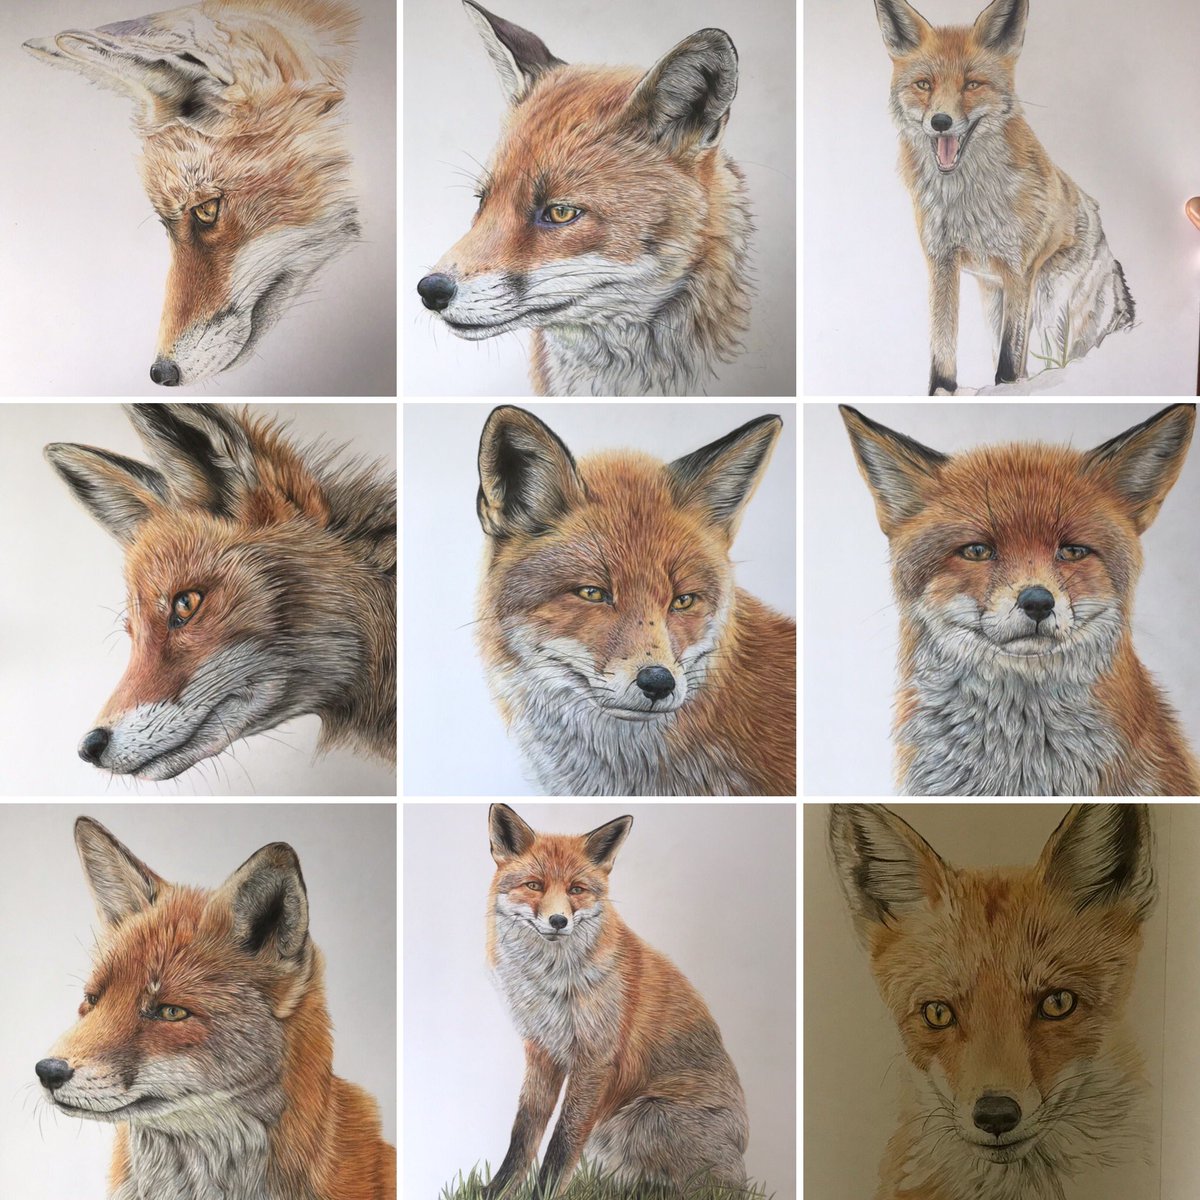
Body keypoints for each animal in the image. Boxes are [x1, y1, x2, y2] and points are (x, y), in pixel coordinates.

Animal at [483, 804, 748, 1198]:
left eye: (577, 889)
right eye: (534, 885)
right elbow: (524, 1131)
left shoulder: (595, 1057)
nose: (558, 920)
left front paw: (543, 1193)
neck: (550, 981)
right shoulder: (542, 1049)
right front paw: (495, 1191)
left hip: (644, 1116)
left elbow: (563, 1139)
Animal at [874, 0, 1134, 395]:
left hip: (1052, 312)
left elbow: (1010, 360)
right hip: (997, 302)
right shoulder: (942, 263)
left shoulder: (1019, 269)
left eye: (972, 84)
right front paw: (942, 391)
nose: (940, 121)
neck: (967, 200)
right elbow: (943, 345)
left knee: (1064, 355)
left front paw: (1008, 388)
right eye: (924, 85)